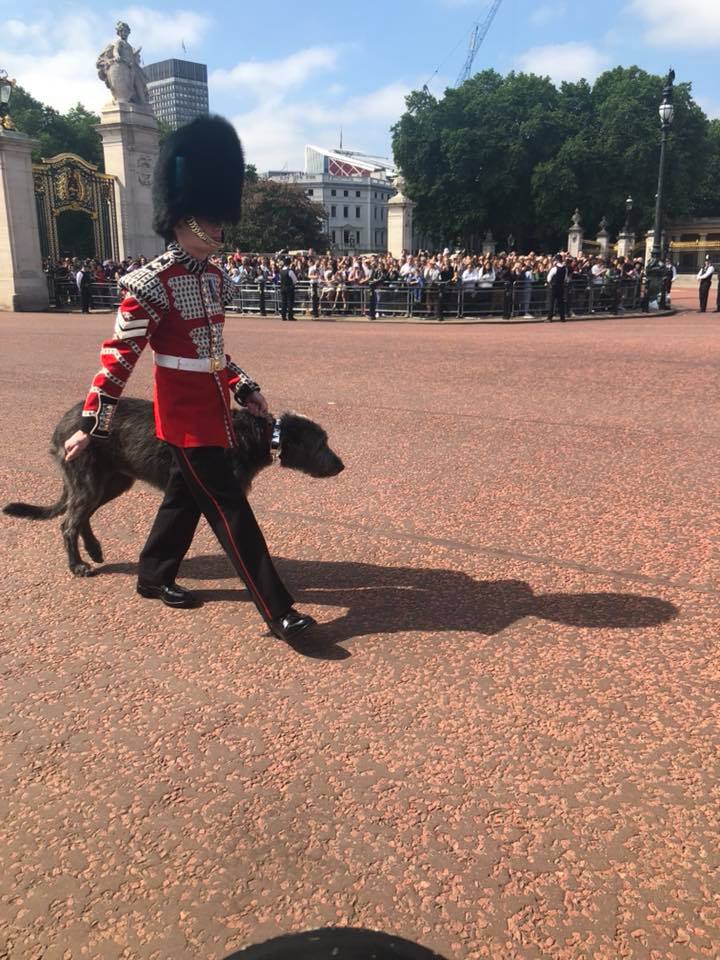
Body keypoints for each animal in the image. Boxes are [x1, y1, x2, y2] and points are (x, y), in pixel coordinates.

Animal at [4, 398, 344, 576]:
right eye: (321, 443)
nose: (341, 465)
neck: (257, 434)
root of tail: (62, 423)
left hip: (112, 481)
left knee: (81, 516)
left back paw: (94, 550)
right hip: (87, 479)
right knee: (68, 523)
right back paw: (77, 564)